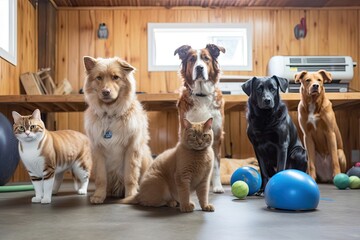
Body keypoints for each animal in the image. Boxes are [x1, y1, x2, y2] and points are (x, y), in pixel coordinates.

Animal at [83, 56, 152, 204]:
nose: (106, 92)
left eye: (115, 77)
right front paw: (99, 196)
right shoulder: (98, 151)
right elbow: (101, 179)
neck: (110, 114)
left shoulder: (132, 149)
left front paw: (130, 195)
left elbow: (130, 176)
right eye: (99, 77)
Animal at [174, 43, 225, 193]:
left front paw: (217, 186)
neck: (201, 95)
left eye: (206, 58)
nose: (199, 68)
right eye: (192, 59)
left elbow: (216, 164)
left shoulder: (217, 136)